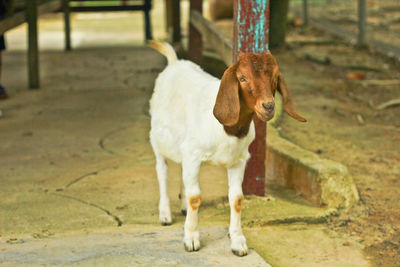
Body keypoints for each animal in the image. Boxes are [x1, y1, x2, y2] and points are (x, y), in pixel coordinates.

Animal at [148, 41, 306, 258]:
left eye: (275, 77)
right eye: (243, 77)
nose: (268, 106)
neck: (229, 130)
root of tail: (174, 62)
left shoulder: (238, 161)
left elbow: (237, 199)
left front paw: (238, 242)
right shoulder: (194, 155)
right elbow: (195, 197)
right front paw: (191, 239)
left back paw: (182, 207)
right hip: (159, 141)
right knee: (162, 171)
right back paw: (165, 214)